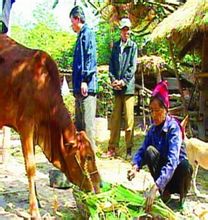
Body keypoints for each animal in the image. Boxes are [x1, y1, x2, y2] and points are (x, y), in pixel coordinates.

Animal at [0, 34, 101, 218]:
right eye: (89, 157)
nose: (99, 185)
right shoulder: (26, 126)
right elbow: (31, 168)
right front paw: (34, 211)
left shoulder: (33, 131)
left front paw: (38, 202)